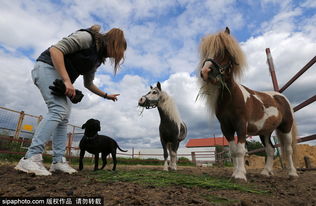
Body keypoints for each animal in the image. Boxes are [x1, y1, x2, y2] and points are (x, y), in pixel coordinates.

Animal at [199, 27, 298, 180]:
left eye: (224, 50)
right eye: (205, 52)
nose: (205, 72)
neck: (231, 98)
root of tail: (281, 96)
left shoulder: (241, 125)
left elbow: (240, 150)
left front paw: (240, 175)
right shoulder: (226, 127)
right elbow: (233, 151)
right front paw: (235, 172)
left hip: (285, 127)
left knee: (288, 149)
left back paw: (292, 173)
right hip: (265, 132)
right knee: (270, 150)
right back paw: (265, 172)